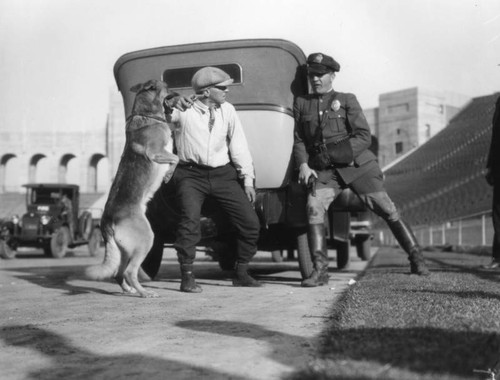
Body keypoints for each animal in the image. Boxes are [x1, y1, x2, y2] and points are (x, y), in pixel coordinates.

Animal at [85, 79, 178, 296]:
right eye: (167, 86)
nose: (179, 93)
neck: (147, 115)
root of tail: (107, 220)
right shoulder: (157, 152)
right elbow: (176, 158)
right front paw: (168, 174)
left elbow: (175, 157)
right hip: (146, 240)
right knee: (129, 272)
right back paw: (145, 293)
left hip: (125, 251)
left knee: (118, 274)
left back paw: (130, 291)